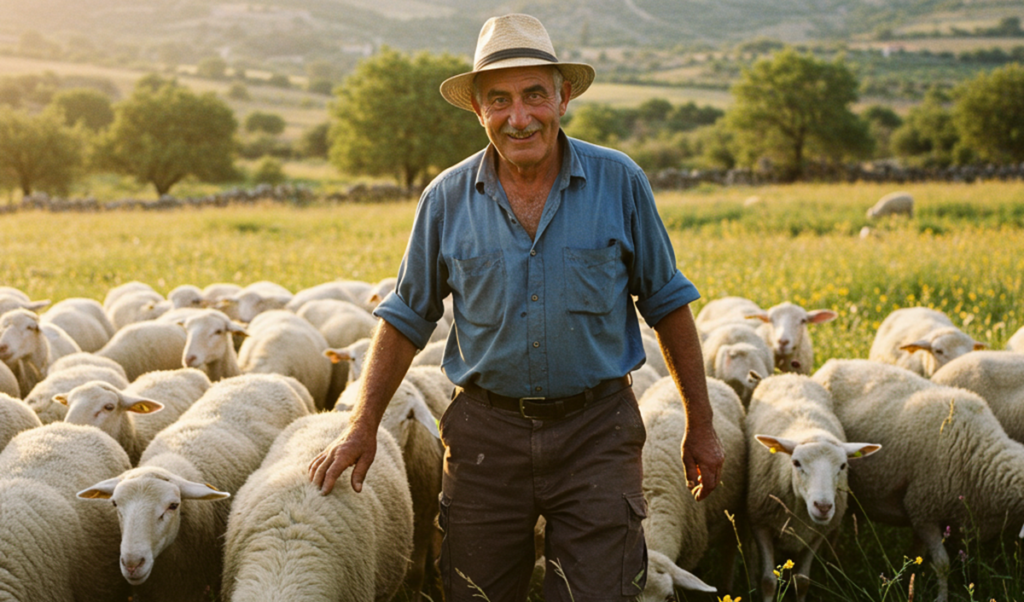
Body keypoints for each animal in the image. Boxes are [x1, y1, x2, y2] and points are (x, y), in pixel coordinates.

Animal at [746, 374, 881, 602]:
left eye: (842, 466)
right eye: (796, 463)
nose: (823, 507)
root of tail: (789, 375)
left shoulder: (818, 533)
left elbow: (802, 582)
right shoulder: (760, 524)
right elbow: (768, 581)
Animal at [812, 359, 1024, 602]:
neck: (980, 453)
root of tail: (832, 363)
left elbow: (918, 555)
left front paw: (911, 580)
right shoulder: (924, 508)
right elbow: (942, 564)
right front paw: (940, 597)